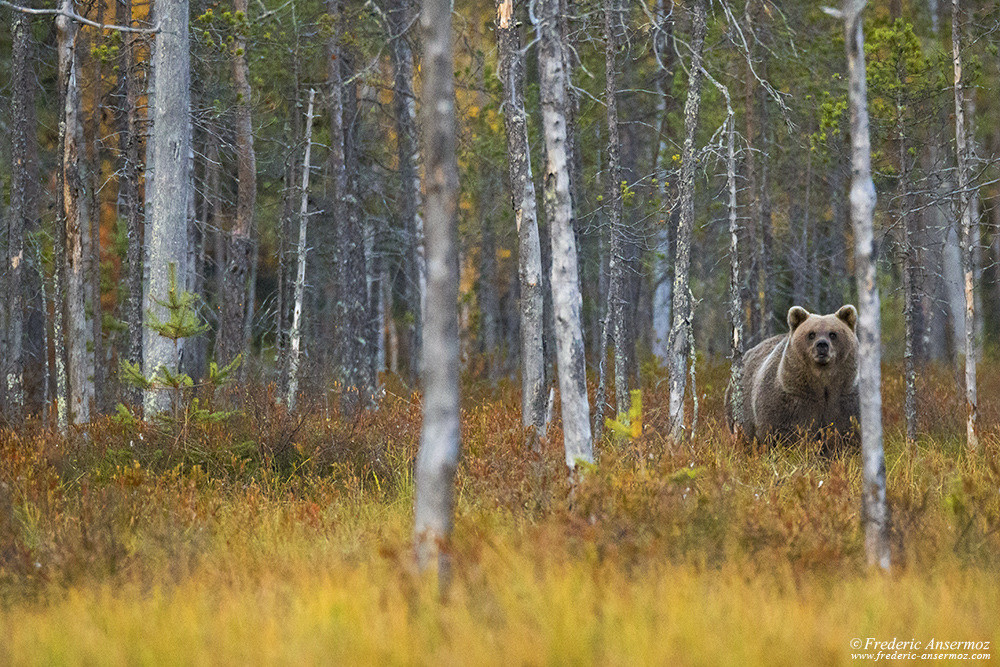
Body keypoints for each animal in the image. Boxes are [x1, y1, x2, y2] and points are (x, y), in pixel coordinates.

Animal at [728, 306, 860, 452]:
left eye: (833, 334)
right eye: (811, 334)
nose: (822, 345)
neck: (822, 381)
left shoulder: (845, 396)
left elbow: (847, 430)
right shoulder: (793, 399)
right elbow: (785, 431)